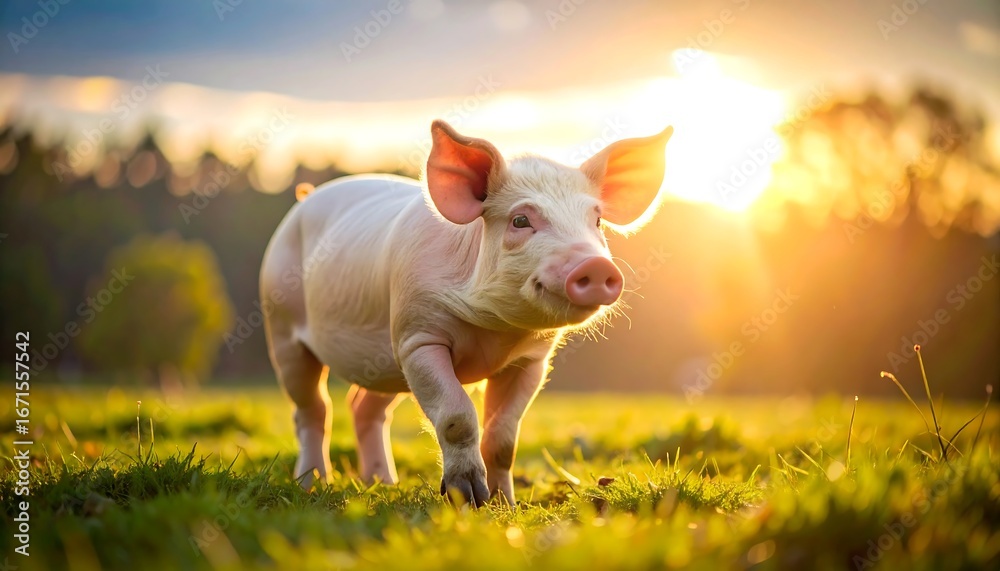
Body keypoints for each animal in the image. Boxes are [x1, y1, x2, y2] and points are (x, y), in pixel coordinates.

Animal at [260, 120, 673, 505]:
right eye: (520, 220)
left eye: (597, 221)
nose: (597, 265)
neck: (493, 329)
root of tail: (304, 200)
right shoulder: (417, 338)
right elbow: (457, 416)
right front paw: (467, 499)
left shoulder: (531, 361)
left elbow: (504, 437)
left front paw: (505, 504)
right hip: (282, 326)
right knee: (314, 409)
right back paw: (313, 484)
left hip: (383, 361)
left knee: (363, 407)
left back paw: (383, 483)